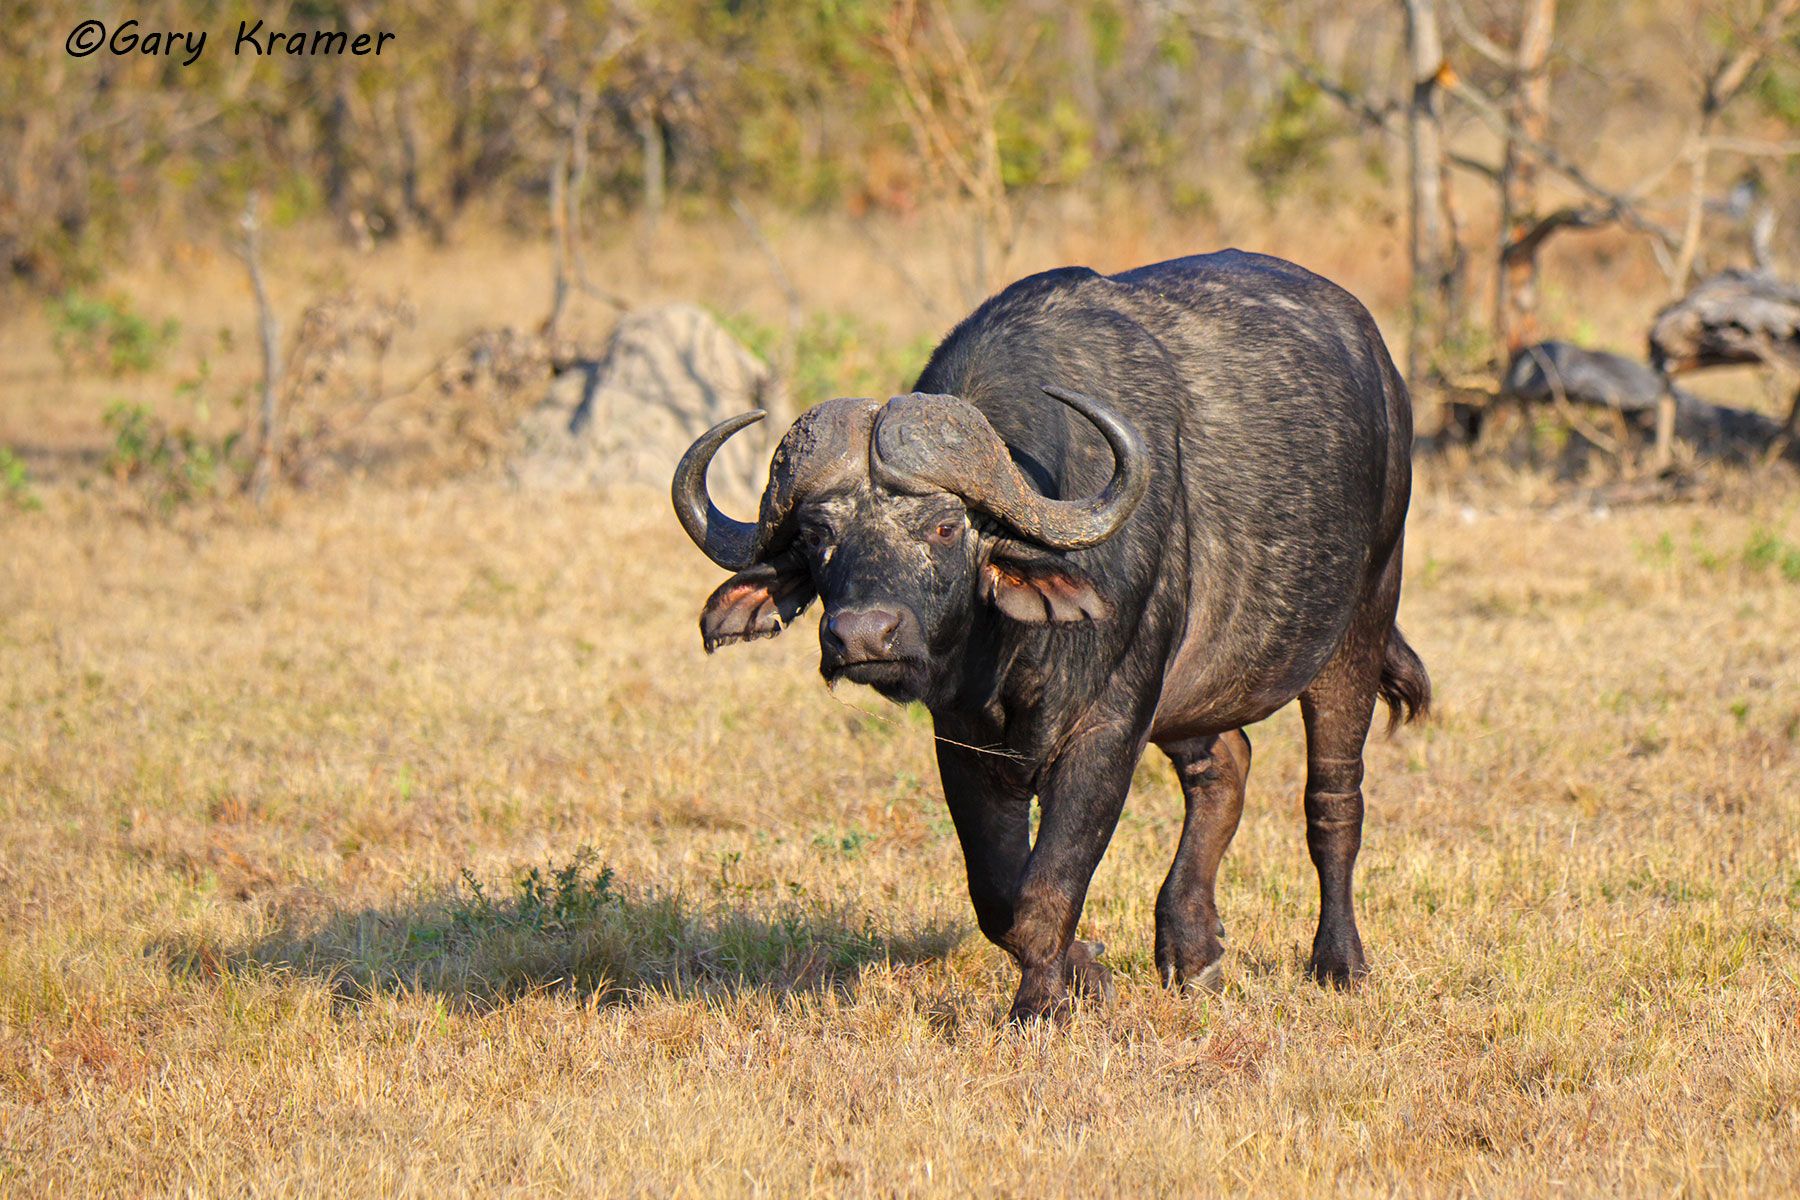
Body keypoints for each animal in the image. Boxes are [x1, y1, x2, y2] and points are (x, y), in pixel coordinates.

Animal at [672, 250, 1429, 1021]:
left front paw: (1043, 1006)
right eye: (818, 537)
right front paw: (1084, 972)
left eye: (945, 526)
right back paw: (1193, 950)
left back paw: (1338, 962)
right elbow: (998, 900)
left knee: (1333, 802)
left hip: (1361, 624)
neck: (1010, 652)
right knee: (1225, 765)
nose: (862, 636)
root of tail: (1383, 372)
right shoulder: (963, 739)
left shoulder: (1109, 728)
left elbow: (1047, 889)